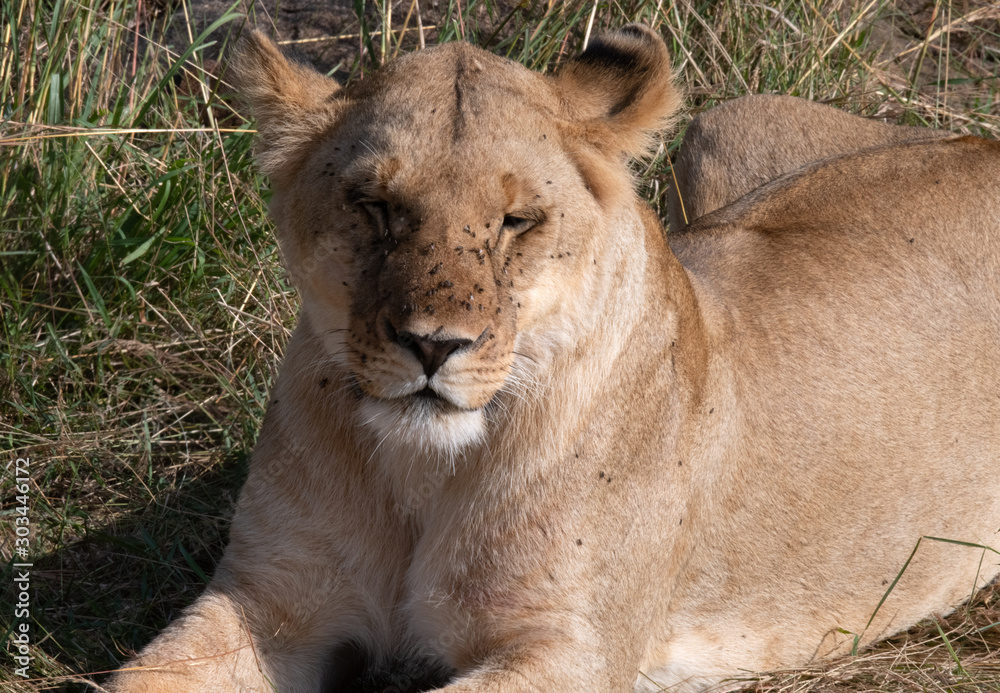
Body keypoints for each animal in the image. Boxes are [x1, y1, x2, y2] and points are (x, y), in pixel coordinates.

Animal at [106, 24, 1000, 693]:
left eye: (516, 220)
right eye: (375, 205)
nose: (432, 344)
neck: (422, 470)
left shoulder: (574, 648)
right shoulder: (271, 601)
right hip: (727, 123)